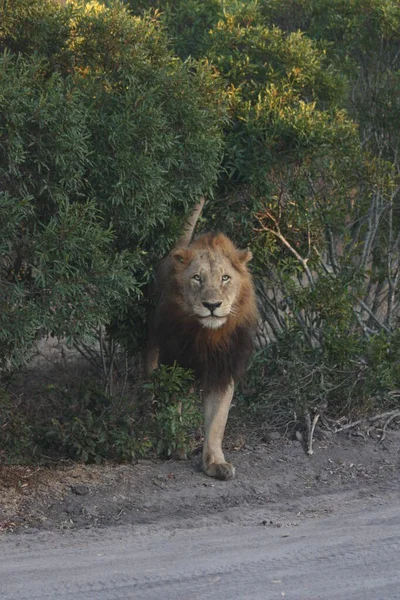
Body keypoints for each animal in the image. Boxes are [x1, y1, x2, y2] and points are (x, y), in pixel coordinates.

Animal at [145, 199, 258, 480]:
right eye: (197, 278)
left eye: (225, 278)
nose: (212, 305)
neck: (208, 335)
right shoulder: (174, 363)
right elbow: (173, 408)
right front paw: (176, 447)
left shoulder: (222, 370)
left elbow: (217, 422)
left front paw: (215, 463)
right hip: (153, 348)